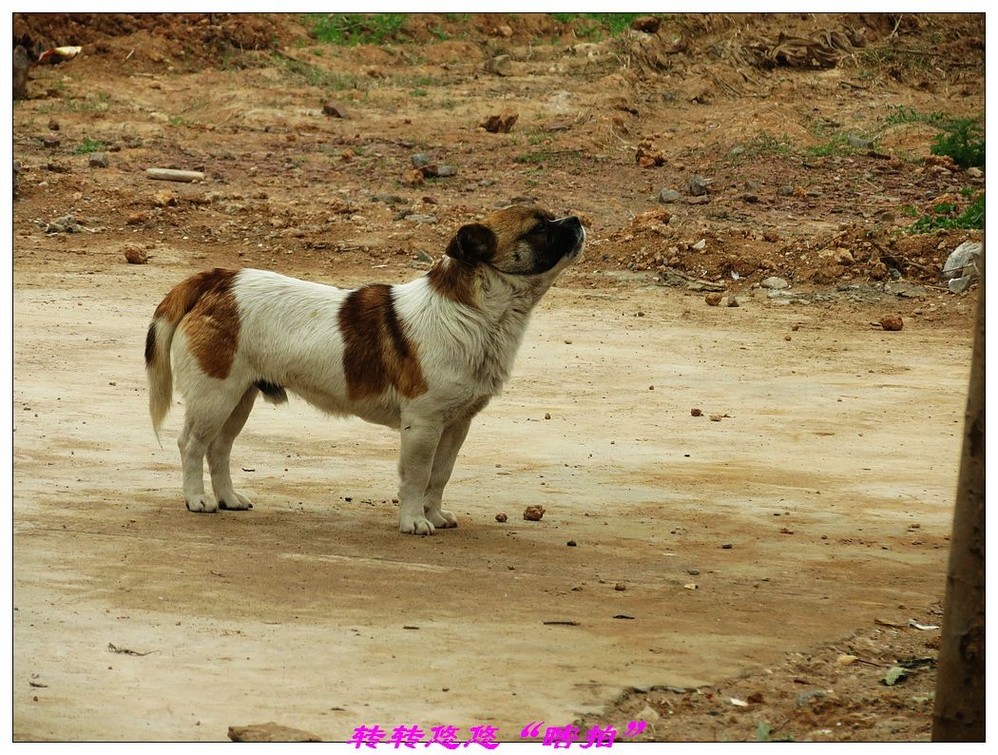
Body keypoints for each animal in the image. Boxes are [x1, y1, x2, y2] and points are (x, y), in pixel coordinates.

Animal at [146, 207, 584, 536]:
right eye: (540, 227)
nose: (577, 219)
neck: (472, 313)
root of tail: (218, 280)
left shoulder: (456, 425)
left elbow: (440, 475)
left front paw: (434, 514)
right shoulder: (422, 425)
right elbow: (416, 475)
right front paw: (413, 521)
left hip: (239, 399)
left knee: (218, 449)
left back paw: (228, 499)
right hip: (214, 397)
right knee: (192, 445)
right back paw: (197, 499)